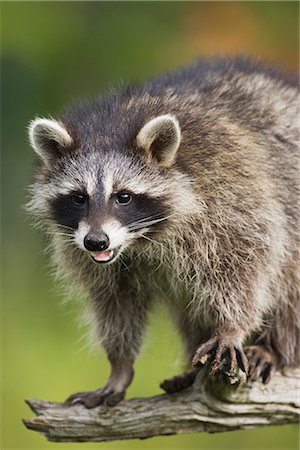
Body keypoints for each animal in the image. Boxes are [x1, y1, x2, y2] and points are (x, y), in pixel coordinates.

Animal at [27, 57, 298, 408]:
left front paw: (231, 326)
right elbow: (114, 302)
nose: (96, 241)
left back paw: (276, 349)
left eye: (123, 196)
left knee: (289, 286)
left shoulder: (231, 192)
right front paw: (119, 364)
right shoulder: (86, 251)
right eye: (78, 198)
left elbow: (247, 262)